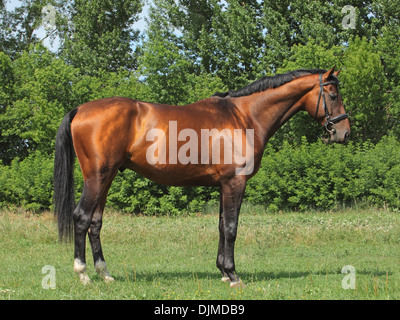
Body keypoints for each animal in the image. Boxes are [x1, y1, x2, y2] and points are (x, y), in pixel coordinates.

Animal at [54, 66, 350, 286]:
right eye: (333, 95)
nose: (344, 133)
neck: (245, 117)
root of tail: (80, 109)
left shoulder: (223, 185)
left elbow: (221, 226)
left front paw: (222, 272)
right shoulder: (234, 182)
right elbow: (231, 227)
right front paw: (233, 275)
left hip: (107, 177)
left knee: (95, 222)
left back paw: (104, 273)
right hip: (97, 177)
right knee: (81, 217)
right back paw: (82, 273)